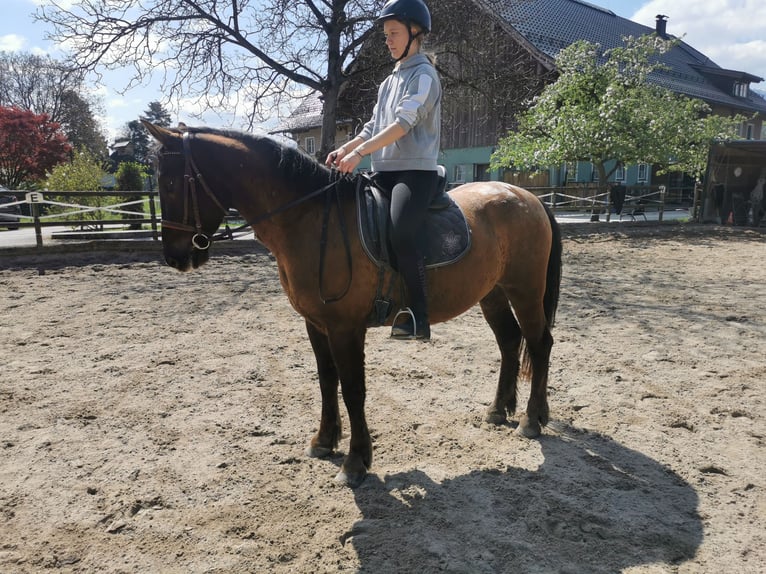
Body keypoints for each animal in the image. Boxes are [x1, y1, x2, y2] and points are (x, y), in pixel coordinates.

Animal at [143, 121, 562, 487]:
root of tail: (529, 198)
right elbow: (327, 380)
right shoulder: (316, 323)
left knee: (540, 343)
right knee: (510, 342)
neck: (310, 219)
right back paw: (499, 410)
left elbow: (352, 388)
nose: (175, 257)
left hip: (525, 289)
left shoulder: (346, 328)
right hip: (493, 292)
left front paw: (356, 461)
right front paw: (324, 440)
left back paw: (531, 419)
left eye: (170, 183)